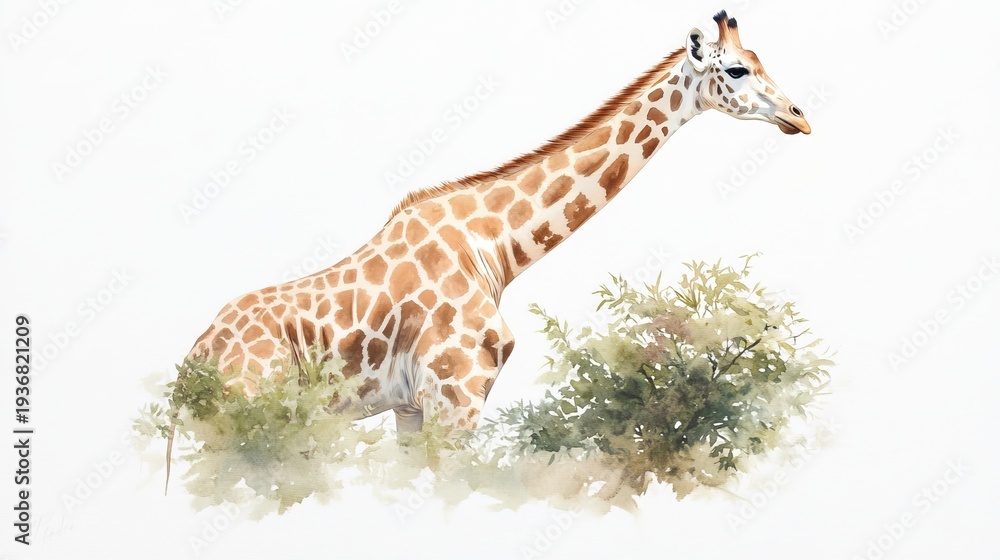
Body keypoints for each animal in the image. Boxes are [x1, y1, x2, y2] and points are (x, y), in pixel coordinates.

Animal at [168, 10, 810, 480]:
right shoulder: (455, 395)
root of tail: (193, 365)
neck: (496, 249)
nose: (800, 118)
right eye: (735, 70)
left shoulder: (412, 408)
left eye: (759, 61)